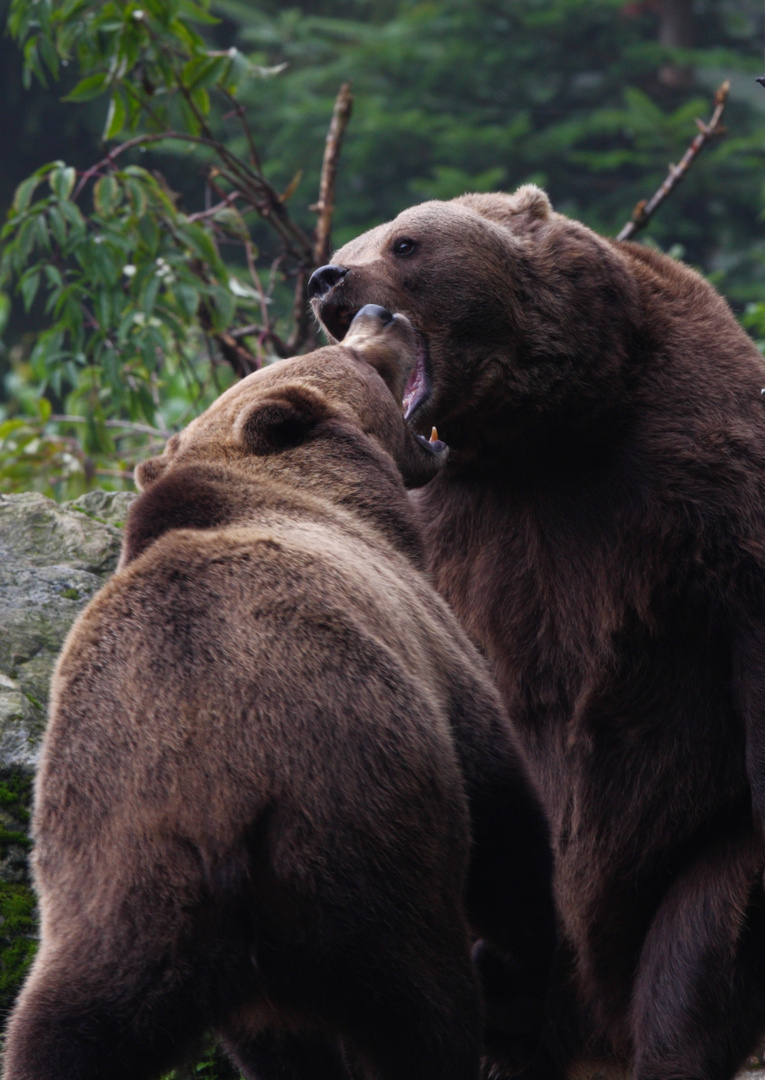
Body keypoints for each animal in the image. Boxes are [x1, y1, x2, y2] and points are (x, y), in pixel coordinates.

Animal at [4, 304, 557, 1080]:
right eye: (354, 356)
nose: (376, 312)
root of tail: (213, 810)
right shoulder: (431, 648)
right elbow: (506, 812)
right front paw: (529, 961)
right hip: (358, 840)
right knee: (423, 1006)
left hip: (108, 894)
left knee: (59, 1029)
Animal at [306, 190, 765, 1080]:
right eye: (356, 238)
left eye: (405, 242)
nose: (328, 278)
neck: (545, 431)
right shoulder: (455, 527)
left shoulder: (695, 471)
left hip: (685, 848)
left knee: (694, 950)